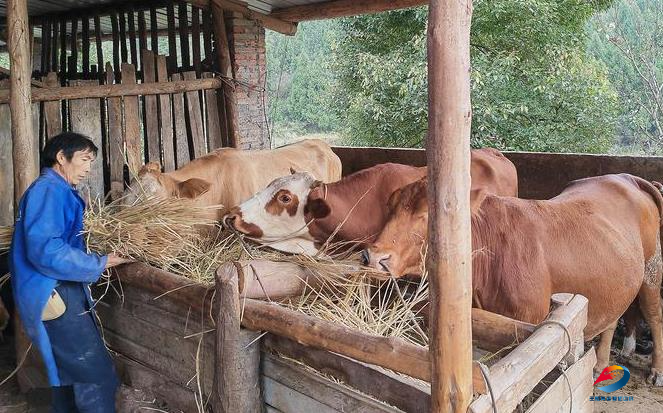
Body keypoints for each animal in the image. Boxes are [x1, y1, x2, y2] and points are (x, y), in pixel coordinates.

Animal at [366, 172, 663, 382]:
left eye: (427, 215)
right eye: (390, 208)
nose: (373, 256)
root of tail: (626, 177)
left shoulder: (531, 326)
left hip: (651, 272)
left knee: (654, 315)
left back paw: (656, 371)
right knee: (613, 317)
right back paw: (600, 364)